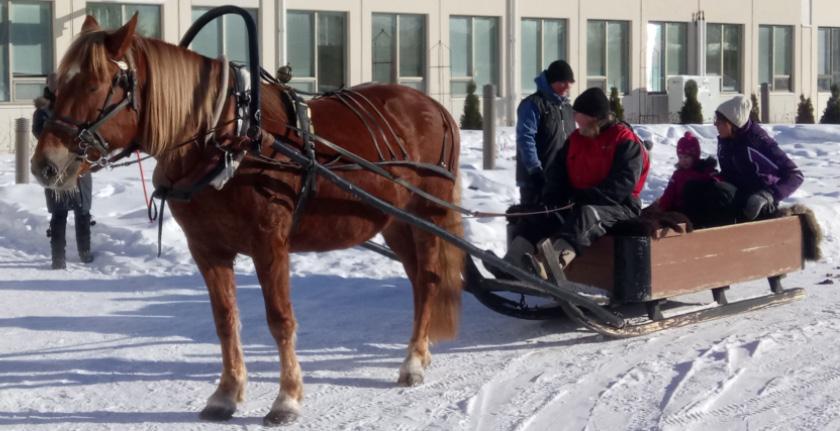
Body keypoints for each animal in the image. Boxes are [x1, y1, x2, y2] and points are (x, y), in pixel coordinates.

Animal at [31, 15, 466, 426]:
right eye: (55, 85)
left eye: (94, 86)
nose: (44, 165)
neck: (227, 139)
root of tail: (436, 107)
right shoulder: (207, 249)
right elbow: (225, 321)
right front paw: (226, 394)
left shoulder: (269, 245)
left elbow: (280, 320)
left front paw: (287, 399)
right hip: (394, 222)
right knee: (417, 281)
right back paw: (418, 354)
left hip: (426, 214)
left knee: (429, 280)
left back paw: (413, 361)